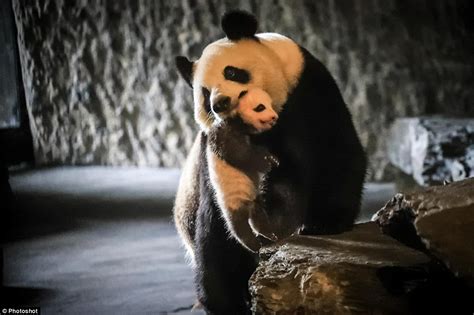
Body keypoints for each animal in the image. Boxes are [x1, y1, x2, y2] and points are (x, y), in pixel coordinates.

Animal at [173, 9, 366, 315]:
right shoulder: (212, 151)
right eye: (204, 94)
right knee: (214, 243)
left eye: (231, 72)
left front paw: (324, 222)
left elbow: (336, 154)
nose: (220, 103)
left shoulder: (311, 90)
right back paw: (224, 301)